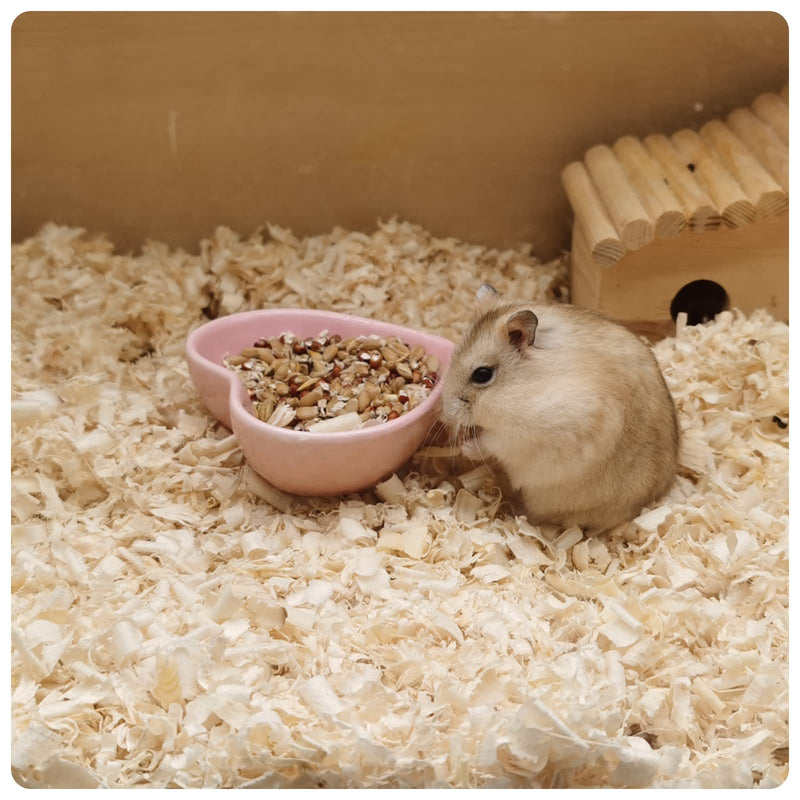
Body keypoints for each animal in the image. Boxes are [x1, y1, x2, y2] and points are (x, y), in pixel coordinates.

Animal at [440, 287, 679, 532]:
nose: (445, 413)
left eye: (482, 374)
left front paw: (465, 447)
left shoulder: (536, 431)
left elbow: (491, 442)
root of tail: (651, 501)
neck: (523, 385)